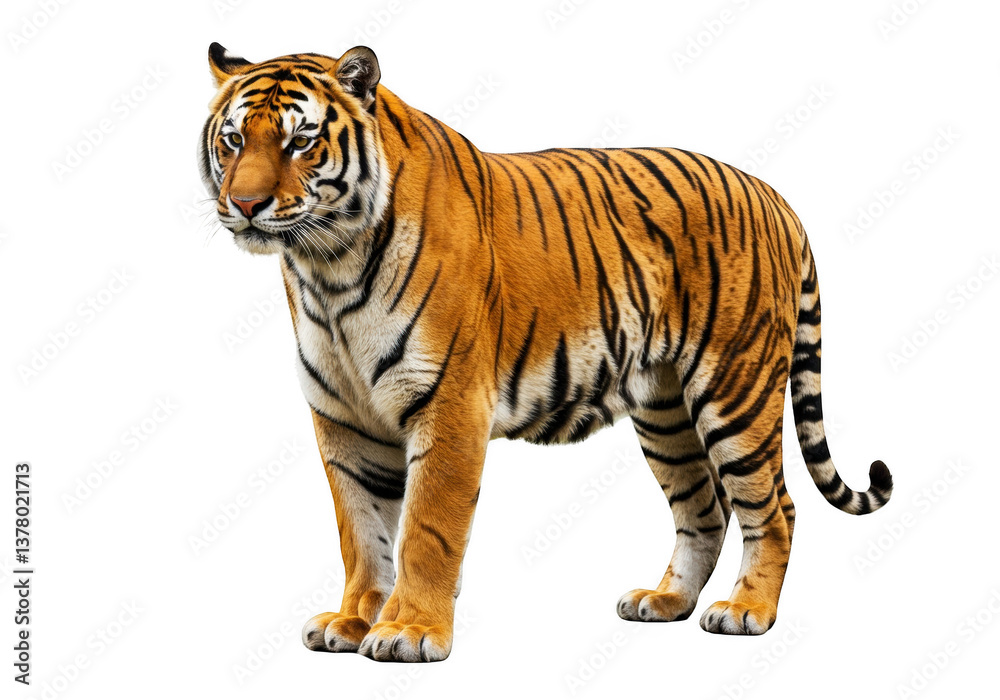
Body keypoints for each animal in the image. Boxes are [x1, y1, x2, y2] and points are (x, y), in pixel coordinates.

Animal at [198, 42, 894, 662]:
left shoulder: (449, 404)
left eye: (300, 141)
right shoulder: (343, 418)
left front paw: (410, 632)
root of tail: (774, 196)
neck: (327, 268)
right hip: (665, 411)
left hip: (734, 391)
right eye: (233, 140)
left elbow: (426, 529)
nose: (246, 204)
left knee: (774, 507)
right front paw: (352, 621)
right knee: (704, 508)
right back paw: (664, 601)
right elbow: (361, 533)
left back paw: (748, 610)